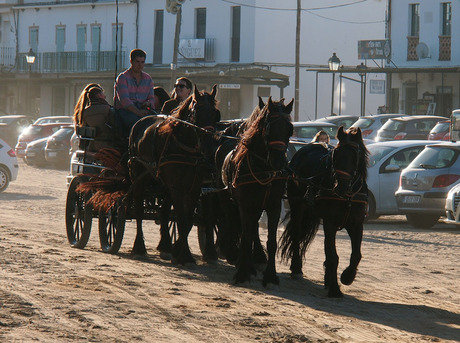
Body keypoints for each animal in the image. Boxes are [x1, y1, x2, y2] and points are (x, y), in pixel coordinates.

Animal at [128, 84, 222, 264]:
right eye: (197, 112)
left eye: (215, 113)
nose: (209, 147)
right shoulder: (177, 187)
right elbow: (182, 219)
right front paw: (184, 255)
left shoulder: (194, 187)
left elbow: (187, 219)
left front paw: (180, 252)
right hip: (139, 175)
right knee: (138, 210)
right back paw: (139, 247)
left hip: (165, 185)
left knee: (164, 211)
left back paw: (165, 245)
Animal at [223, 97, 294, 288]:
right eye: (268, 128)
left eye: (290, 129)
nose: (278, 162)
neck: (264, 169)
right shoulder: (245, 204)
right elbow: (246, 238)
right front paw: (242, 272)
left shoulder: (274, 205)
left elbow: (271, 242)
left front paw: (270, 275)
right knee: (246, 231)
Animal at [278, 127, 368, 298]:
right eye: (336, 154)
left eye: (355, 156)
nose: (340, 187)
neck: (348, 196)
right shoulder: (330, 222)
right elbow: (333, 255)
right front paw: (334, 289)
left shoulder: (356, 224)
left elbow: (356, 255)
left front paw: (347, 276)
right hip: (297, 205)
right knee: (296, 234)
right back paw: (297, 268)